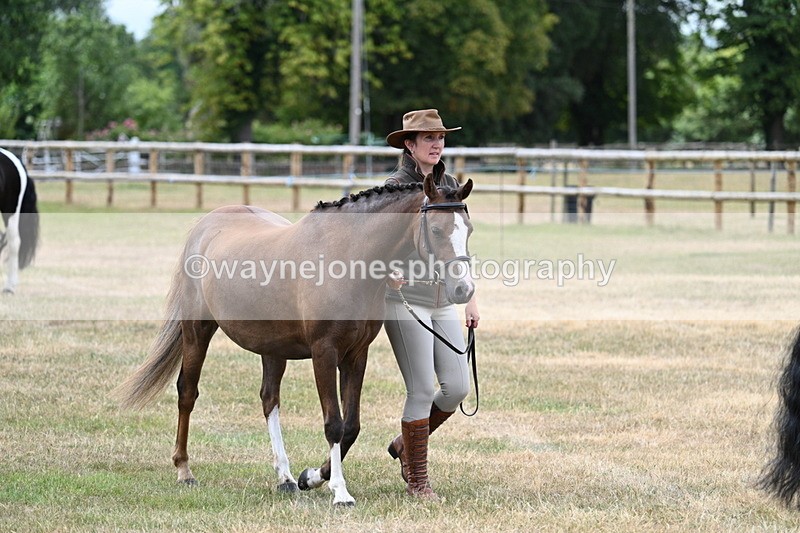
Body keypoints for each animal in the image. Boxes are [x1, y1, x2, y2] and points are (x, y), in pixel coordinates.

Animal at [114, 174, 475, 507]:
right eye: (437, 230)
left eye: (468, 229)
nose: (463, 290)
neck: (345, 257)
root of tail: (205, 225)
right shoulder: (324, 352)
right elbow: (334, 424)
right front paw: (339, 492)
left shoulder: (356, 355)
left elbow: (351, 426)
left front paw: (310, 477)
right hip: (197, 332)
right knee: (187, 394)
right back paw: (184, 470)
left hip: (272, 348)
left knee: (269, 399)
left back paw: (285, 477)